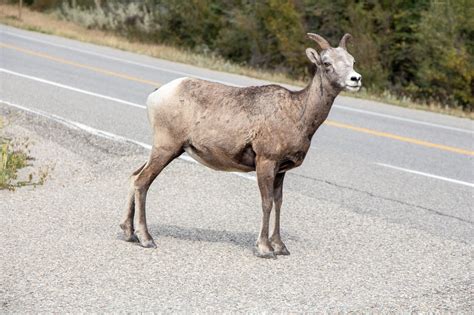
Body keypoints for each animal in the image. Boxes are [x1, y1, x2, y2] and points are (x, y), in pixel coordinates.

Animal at [120, 32, 362, 260]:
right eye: (326, 63)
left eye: (352, 60)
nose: (356, 79)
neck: (297, 114)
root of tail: (156, 94)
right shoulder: (266, 162)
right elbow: (267, 203)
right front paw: (265, 249)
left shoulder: (281, 171)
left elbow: (279, 203)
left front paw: (280, 247)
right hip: (167, 148)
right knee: (142, 182)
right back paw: (146, 239)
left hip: (163, 150)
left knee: (134, 176)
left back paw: (128, 233)